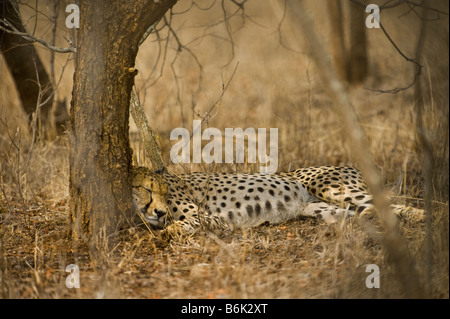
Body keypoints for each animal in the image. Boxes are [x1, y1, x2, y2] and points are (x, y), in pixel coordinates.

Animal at [132, 165, 424, 238]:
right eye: (147, 189)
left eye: (161, 191)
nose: (159, 211)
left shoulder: (212, 217)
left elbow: (182, 224)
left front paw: (168, 231)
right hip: (325, 208)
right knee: (368, 211)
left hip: (331, 188)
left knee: (393, 204)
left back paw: (423, 216)